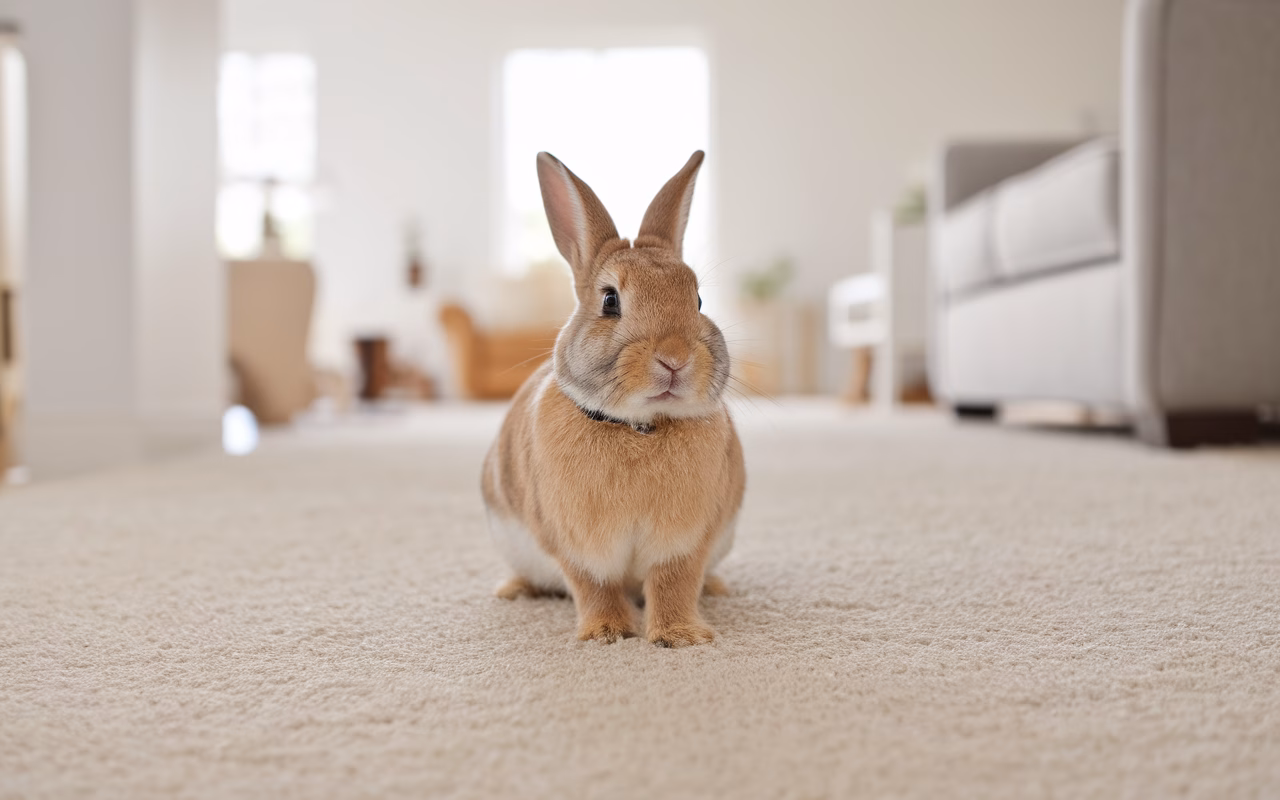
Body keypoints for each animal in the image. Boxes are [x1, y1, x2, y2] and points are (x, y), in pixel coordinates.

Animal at [481, 150, 745, 648]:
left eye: (699, 300)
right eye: (609, 301)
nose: (674, 358)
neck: (639, 427)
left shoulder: (684, 544)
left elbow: (674, 583)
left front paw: (680, 636)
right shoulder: (578, 547)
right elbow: (594, 586)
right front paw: (607, 634)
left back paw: (720, 587)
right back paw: (512, 590)